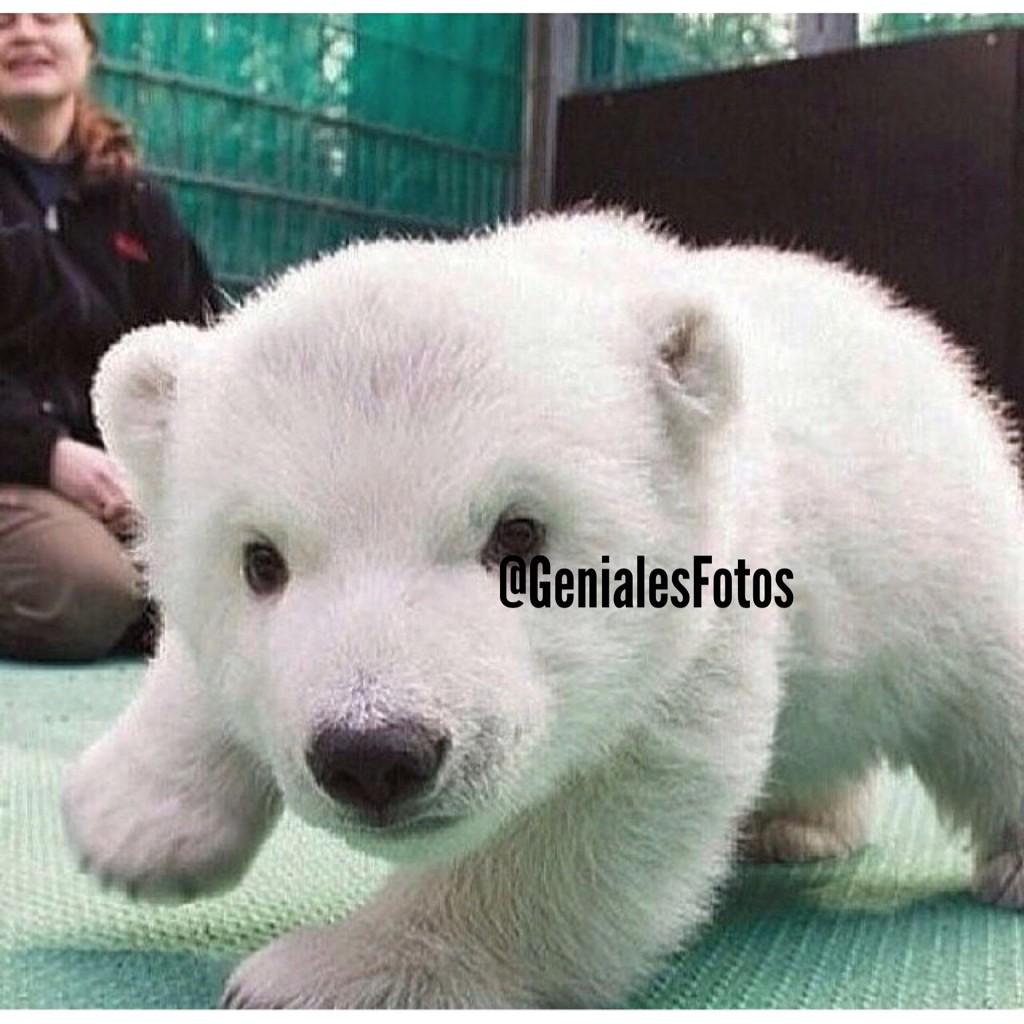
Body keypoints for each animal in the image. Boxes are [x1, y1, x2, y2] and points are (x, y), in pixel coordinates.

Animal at [62, 211, 1024, 1008]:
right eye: (260, 560)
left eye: (518, 534)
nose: (373, 753)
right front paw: (131, 828)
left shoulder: (700, 623)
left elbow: (583, 822)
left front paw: (332, 973)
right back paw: (796, 825)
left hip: (942, 548)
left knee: (993, 692)